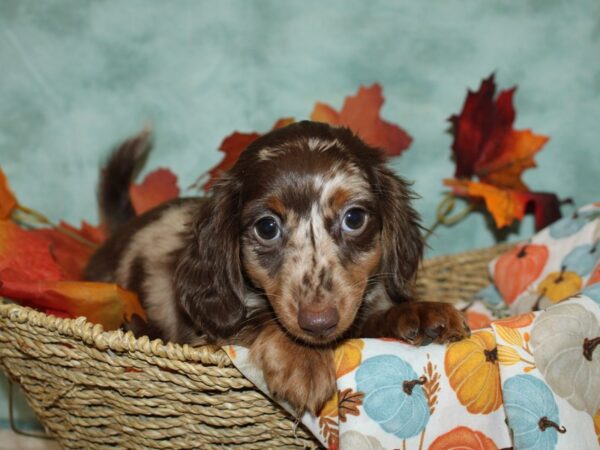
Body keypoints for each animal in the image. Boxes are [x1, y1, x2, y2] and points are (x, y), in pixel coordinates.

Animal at [85, 120, 468, 414]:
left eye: (354, 218)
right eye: (267, 227)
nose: (318, 323)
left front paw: (421, 312)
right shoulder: (210, 332)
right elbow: (259, 320)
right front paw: (304, 362)